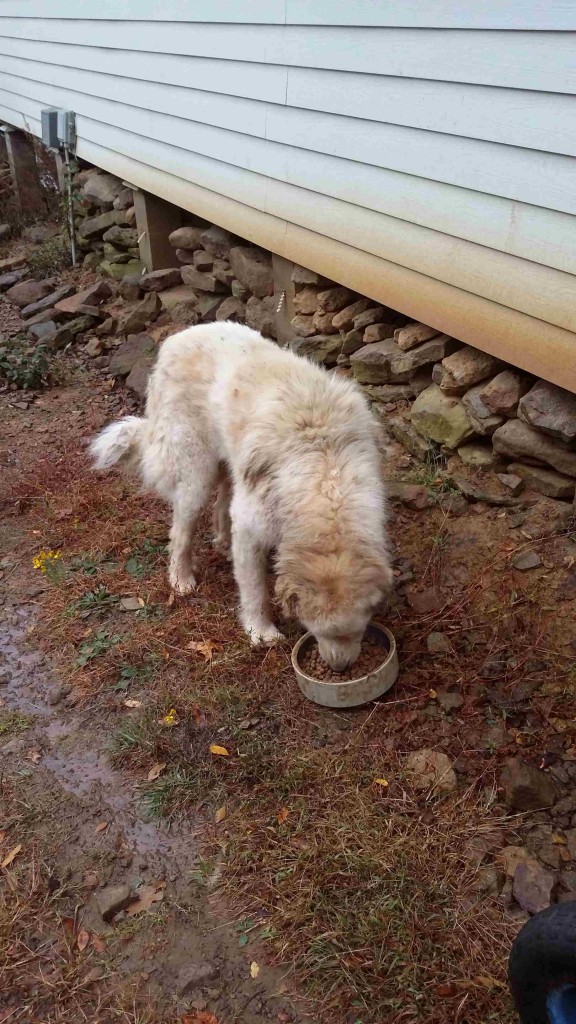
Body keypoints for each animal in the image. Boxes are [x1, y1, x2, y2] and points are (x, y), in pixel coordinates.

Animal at [90, 321, 389, 671]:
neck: (326, 477)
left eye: (357, 630)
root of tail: (176, 338)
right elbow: (255, 590)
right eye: (319, 631)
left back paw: (222, 542)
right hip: (196, 475)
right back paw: (181, 579)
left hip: (232, 466)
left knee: (223, 503)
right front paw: (261, 632)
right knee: (181, 532)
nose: (340, 667)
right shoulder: (251, 529)